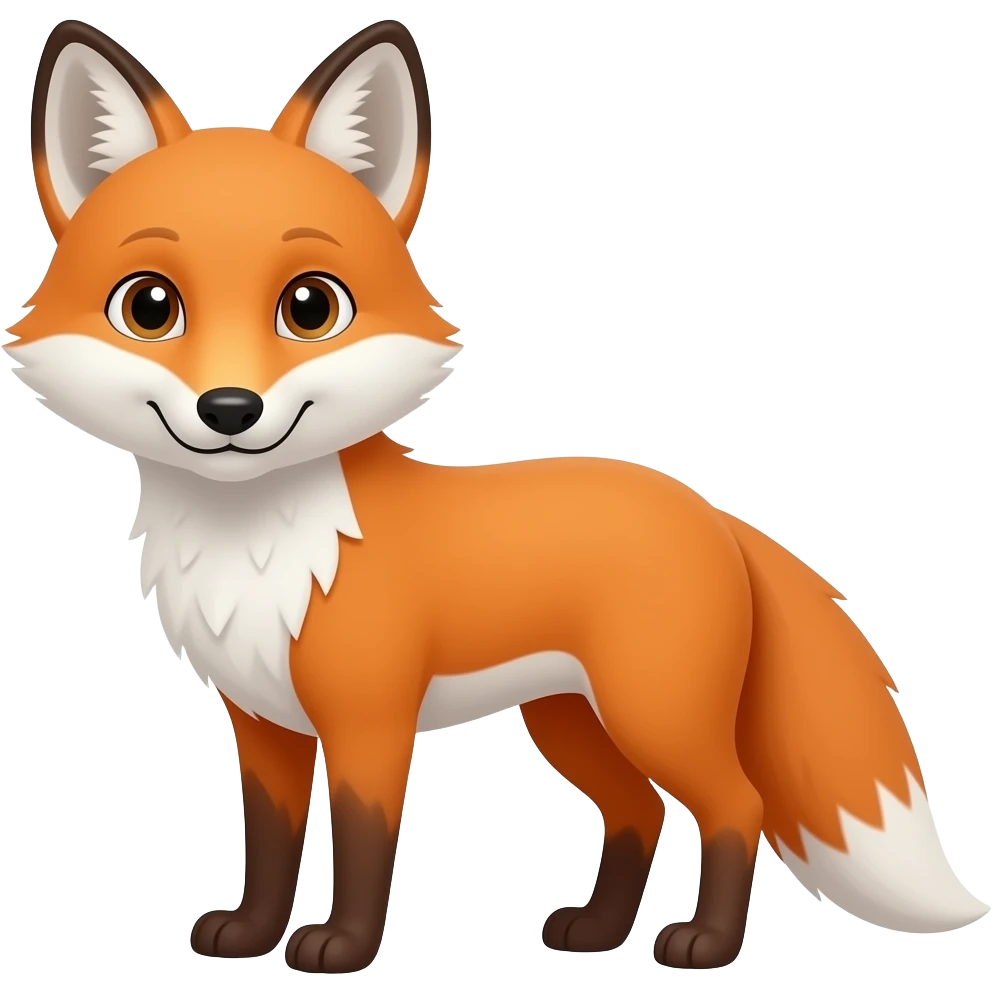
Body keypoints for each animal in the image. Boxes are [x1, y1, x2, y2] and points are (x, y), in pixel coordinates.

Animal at [5, 15, 989, 976]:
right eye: (149, 306)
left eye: (311, 307)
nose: (230, 410)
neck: (261, 549)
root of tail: (709, 511)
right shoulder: (263, 724)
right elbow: (271, 844)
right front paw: (250, 935)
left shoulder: (370, 719)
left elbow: (364, 842)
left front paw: (340, 948)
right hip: (569, 721)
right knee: (638, 811)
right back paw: (595, 931)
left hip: (652, 713)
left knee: (733, 804)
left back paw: (702, 945)